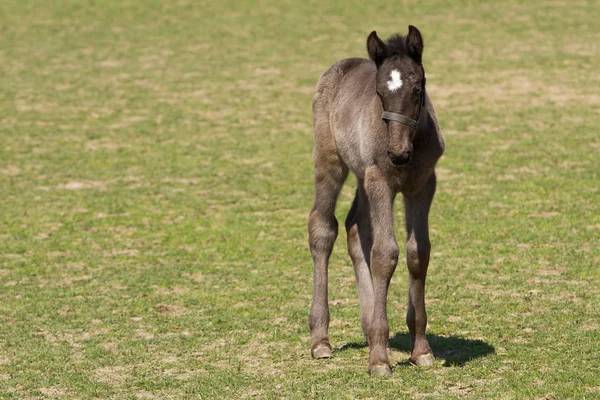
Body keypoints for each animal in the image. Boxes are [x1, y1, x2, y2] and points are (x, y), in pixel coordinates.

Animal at [310, 27, 446, 376]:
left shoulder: (422, 185)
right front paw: (379, 359)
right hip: (331, 162)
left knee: (355, 227)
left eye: (418, 88)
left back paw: (369, 325)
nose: (397, 154)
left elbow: (417, 253)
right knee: (322, 228)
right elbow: (385, 255)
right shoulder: (380, 182)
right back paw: (320, 339)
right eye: (379, 92)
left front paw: (420, 349)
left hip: (362, 176)